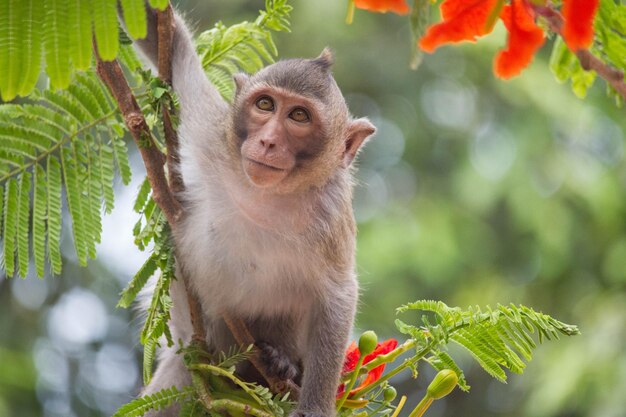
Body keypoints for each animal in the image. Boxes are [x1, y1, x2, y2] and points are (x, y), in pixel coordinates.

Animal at [133, 5, 372, 416]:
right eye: (265, 105)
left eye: (299, 116)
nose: (268, 140)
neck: (265, 195)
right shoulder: (214, 134)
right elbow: (175, 51)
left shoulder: (331, 215)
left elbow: (337, 295)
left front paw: (314, 406)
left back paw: (282, 363)